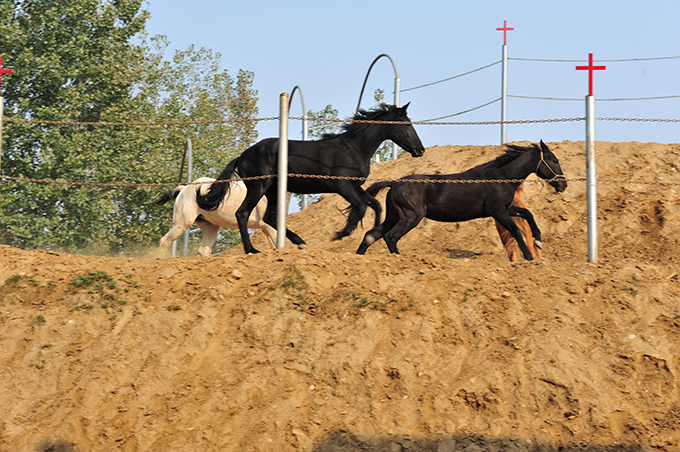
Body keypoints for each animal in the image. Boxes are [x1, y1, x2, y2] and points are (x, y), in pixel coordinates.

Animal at [196, 103, 426, 254]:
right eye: (406, 124)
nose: (420, 150)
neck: (353, 148)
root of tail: (242, 156)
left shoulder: (355, 186)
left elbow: (376, 205)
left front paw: (371, 234)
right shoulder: (342, 186)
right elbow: (361, 208)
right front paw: (340, 234)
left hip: (273, 190)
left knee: (269, 217)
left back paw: (300, 242)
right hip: (258, 187)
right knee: (242, 213)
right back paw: (251, 250)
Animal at [354, 140, 567, 260]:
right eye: (554, 160)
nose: (563, 185)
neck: (499, 176)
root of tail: (394, 183)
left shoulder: (507, 208)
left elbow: (528, 214)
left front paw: (538, 241)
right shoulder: (499, 212)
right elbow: (515, 230)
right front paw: (530, 256)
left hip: (393, 216)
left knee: (372, 234)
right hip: (411, 216)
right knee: (390, 237)